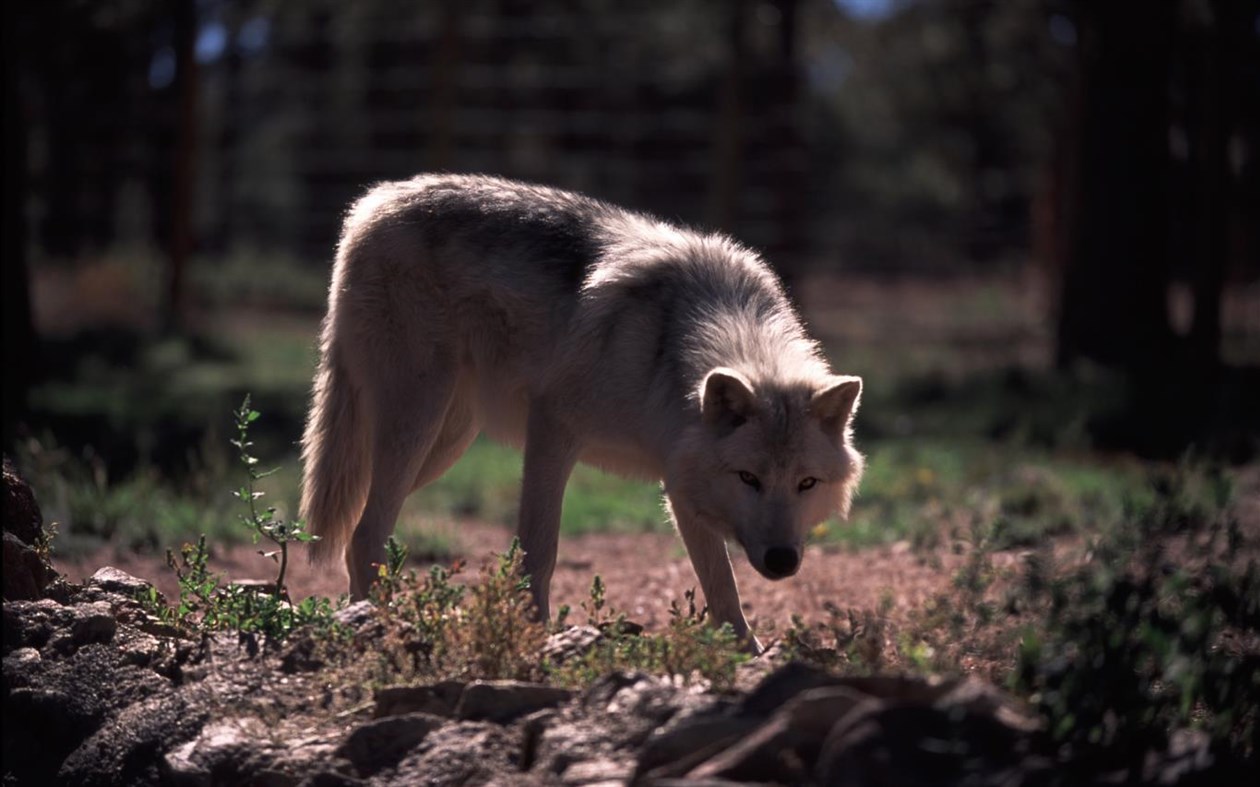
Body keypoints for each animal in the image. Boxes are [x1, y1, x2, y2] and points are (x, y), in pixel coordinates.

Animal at [300, 174, 864, 650]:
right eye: (748, 477)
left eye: (806, 483)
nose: (782, 560)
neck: (668, 349)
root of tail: (373, 203)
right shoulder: (552, 429)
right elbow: (539, 550)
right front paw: (533, 636)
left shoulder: (680, 480)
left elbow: (721, 586)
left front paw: (747, 656)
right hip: (417, 423)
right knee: (365, 536)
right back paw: (373, 627)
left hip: (442, 445)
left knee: (358, 528)